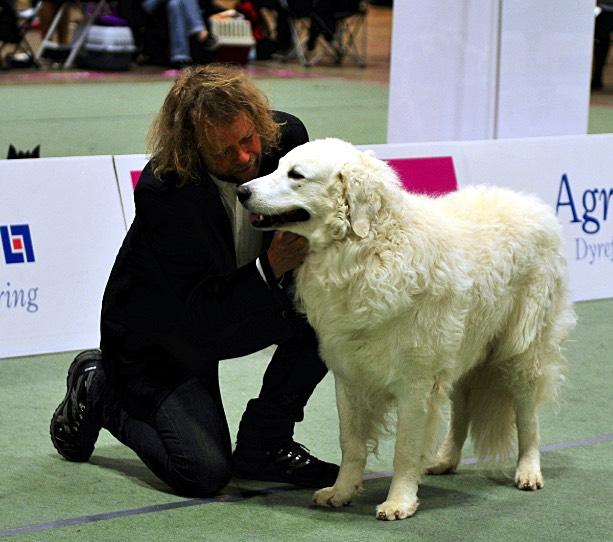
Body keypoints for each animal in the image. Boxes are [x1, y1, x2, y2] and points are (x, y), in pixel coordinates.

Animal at [238, 138, 572, 520]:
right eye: (278, 167)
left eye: (296, 175)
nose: (241, 191)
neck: (368, 248)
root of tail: (532, 204)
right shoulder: (350, 376)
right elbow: (351, 443)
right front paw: (341, 491)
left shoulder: (416, 383)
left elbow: (405, 449)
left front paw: (399, 501)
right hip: (462, 352)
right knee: (462, 411)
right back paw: (445, 460)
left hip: (521, 351)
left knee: (527, 417)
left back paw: (528, 470)